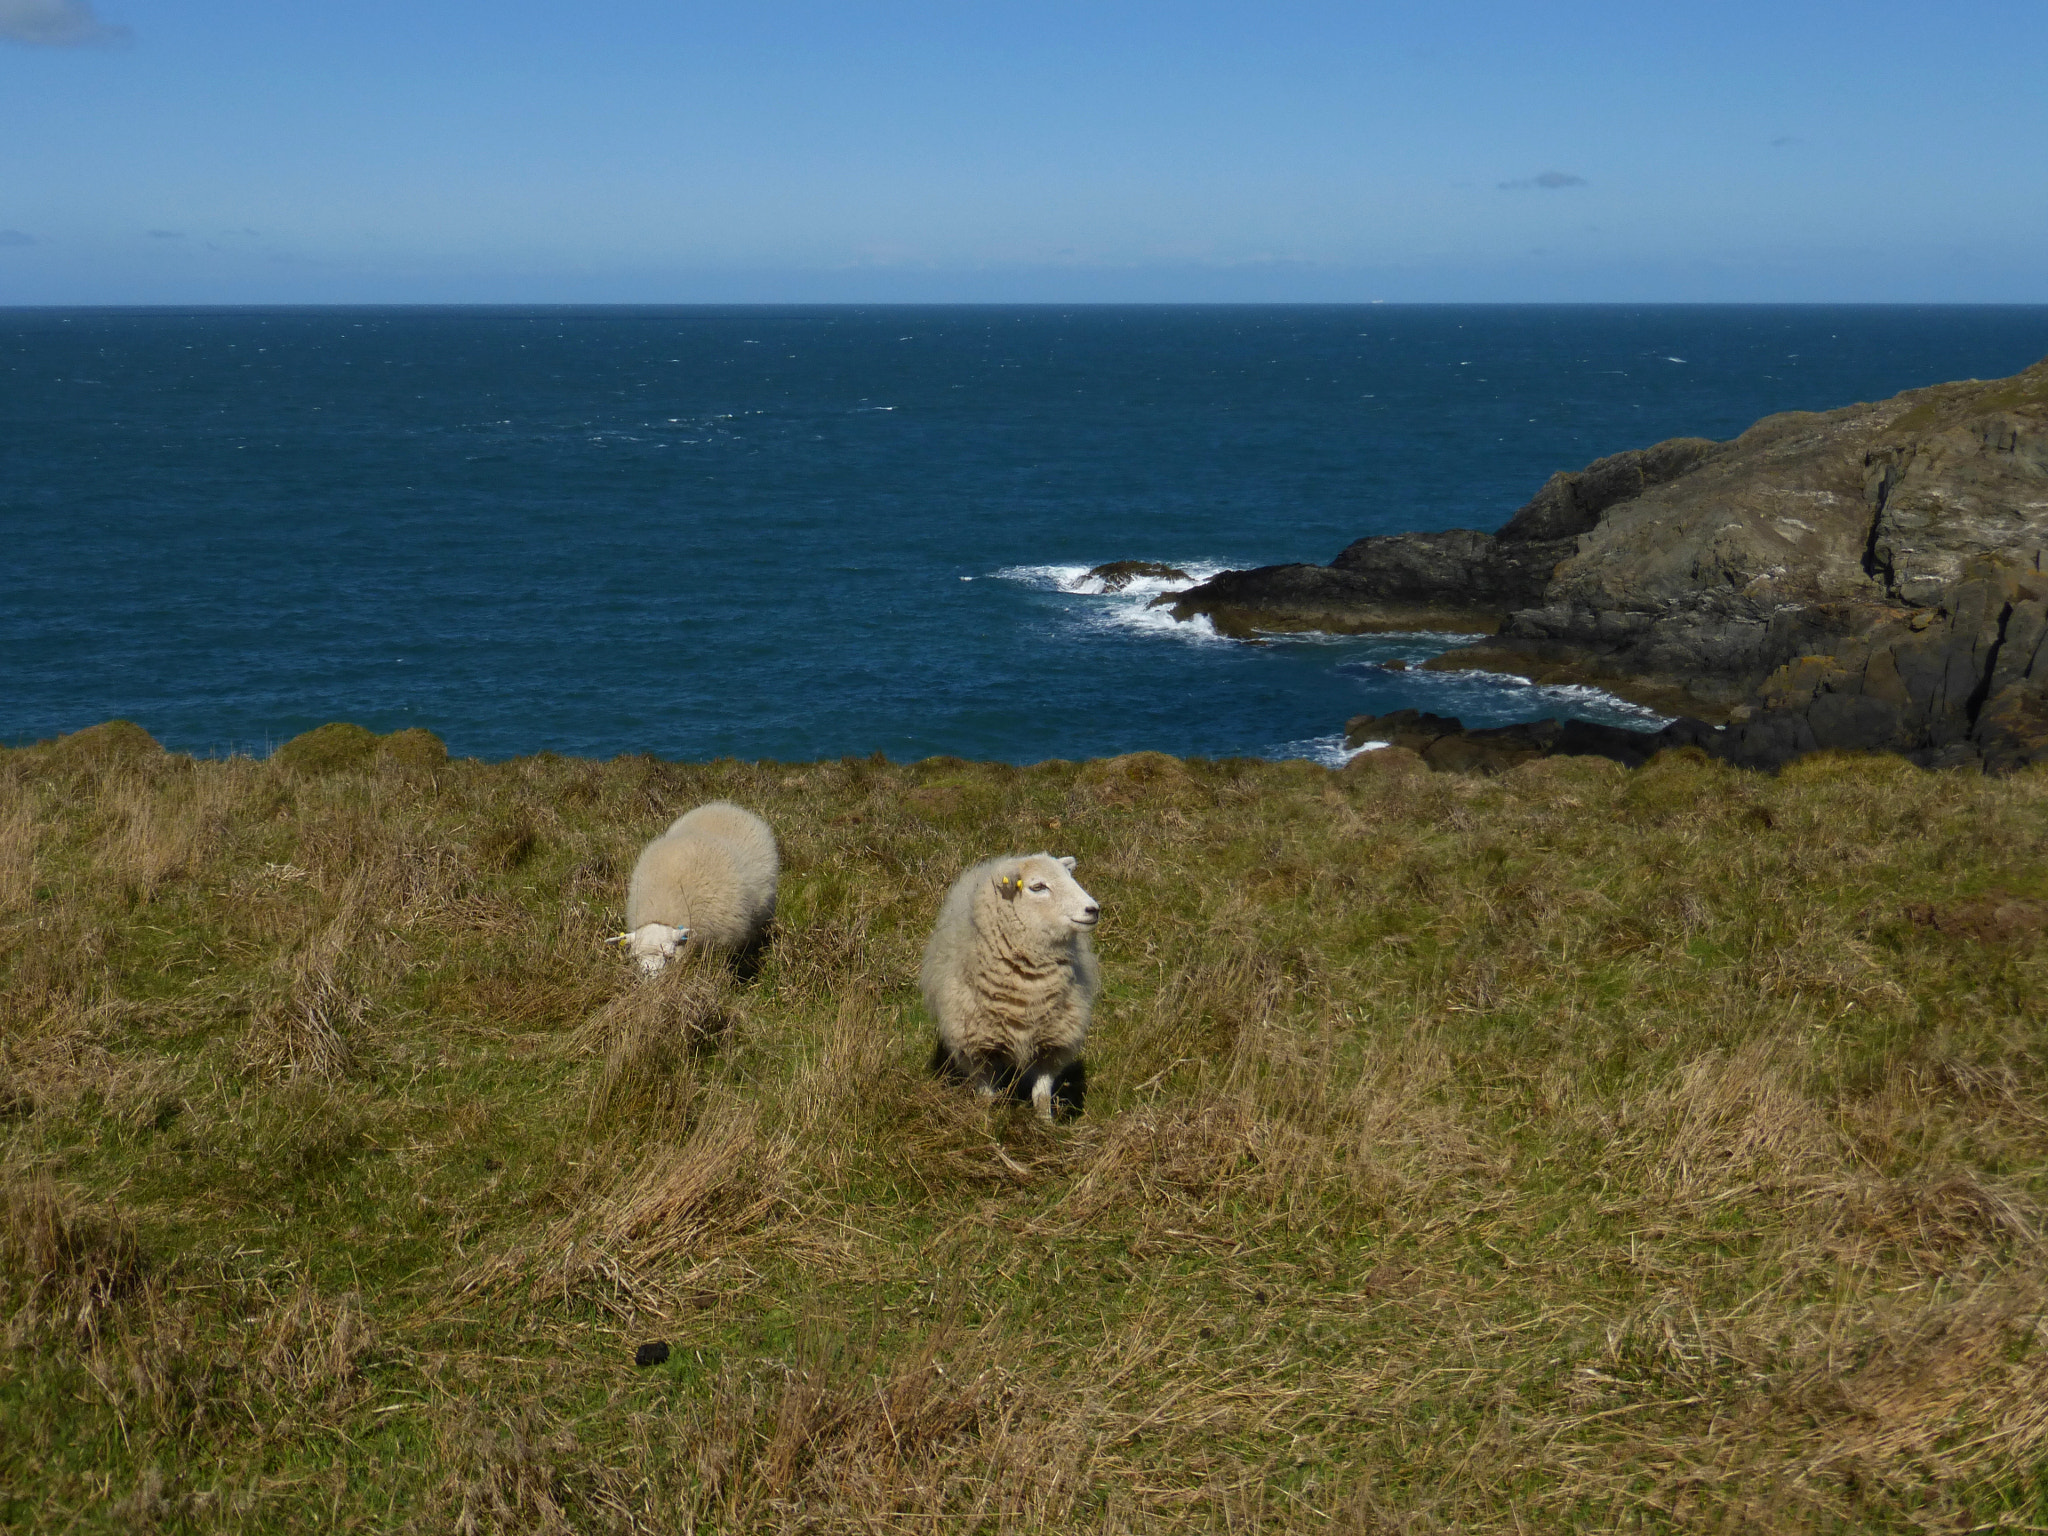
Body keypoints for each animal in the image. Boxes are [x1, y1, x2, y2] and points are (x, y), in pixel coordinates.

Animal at [921, 847, 1097, 1122]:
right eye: (1037, 886)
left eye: (1070, 877)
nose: (1093, 909)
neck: (1028, 987)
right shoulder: (977, 1045)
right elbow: (986, 1095)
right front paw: (986, 1123)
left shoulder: (1052, 1043)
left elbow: (1042, 1094)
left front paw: (1045, 1125)